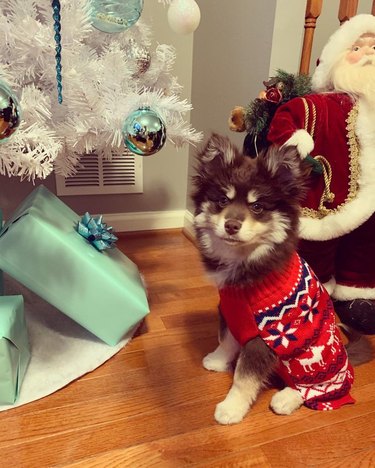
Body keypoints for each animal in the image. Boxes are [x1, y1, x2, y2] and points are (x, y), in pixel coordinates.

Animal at [192, 133, 360, 426]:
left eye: (258, 206)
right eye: (222, 200)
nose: (231, 225)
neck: (246, 262)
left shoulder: (266, 336)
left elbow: (244, 377)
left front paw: (231, 409)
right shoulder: (233, 314)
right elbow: (227, 340)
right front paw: (217, 360)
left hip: (310, 362)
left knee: (315, 388)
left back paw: (286, 399)